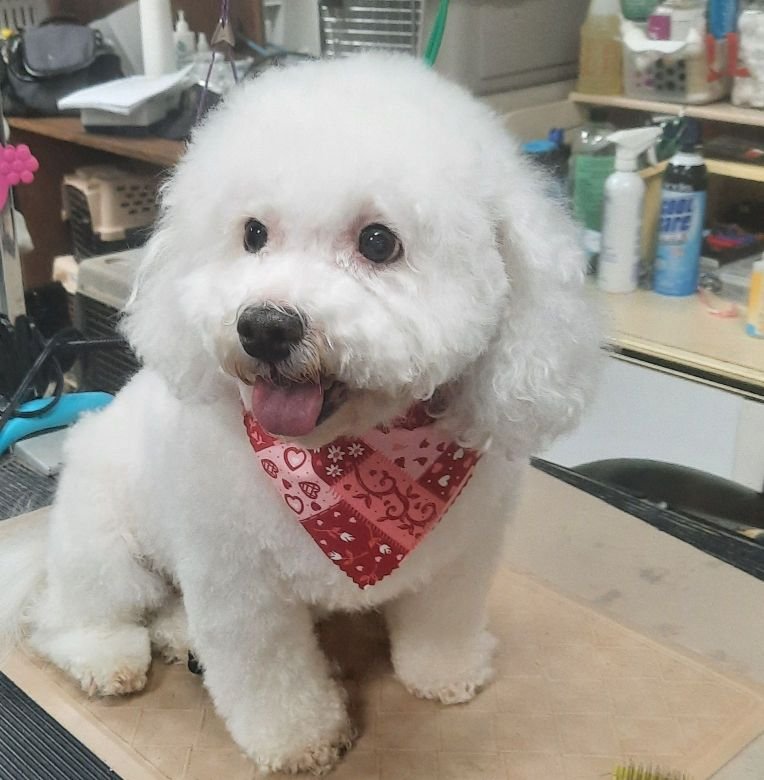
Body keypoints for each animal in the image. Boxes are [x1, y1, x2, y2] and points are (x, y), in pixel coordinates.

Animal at [0, 54, 600, 775]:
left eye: (378, 241)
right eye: (253, 234)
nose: (264, 326)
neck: (347, 465)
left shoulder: (461, 556)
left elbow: (442, 621)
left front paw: (445, 673)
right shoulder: (239, 587)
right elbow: (267, 676)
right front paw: (299, 739)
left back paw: (177, 634)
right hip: (103, 545)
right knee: (68, 619)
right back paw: (106, 654)